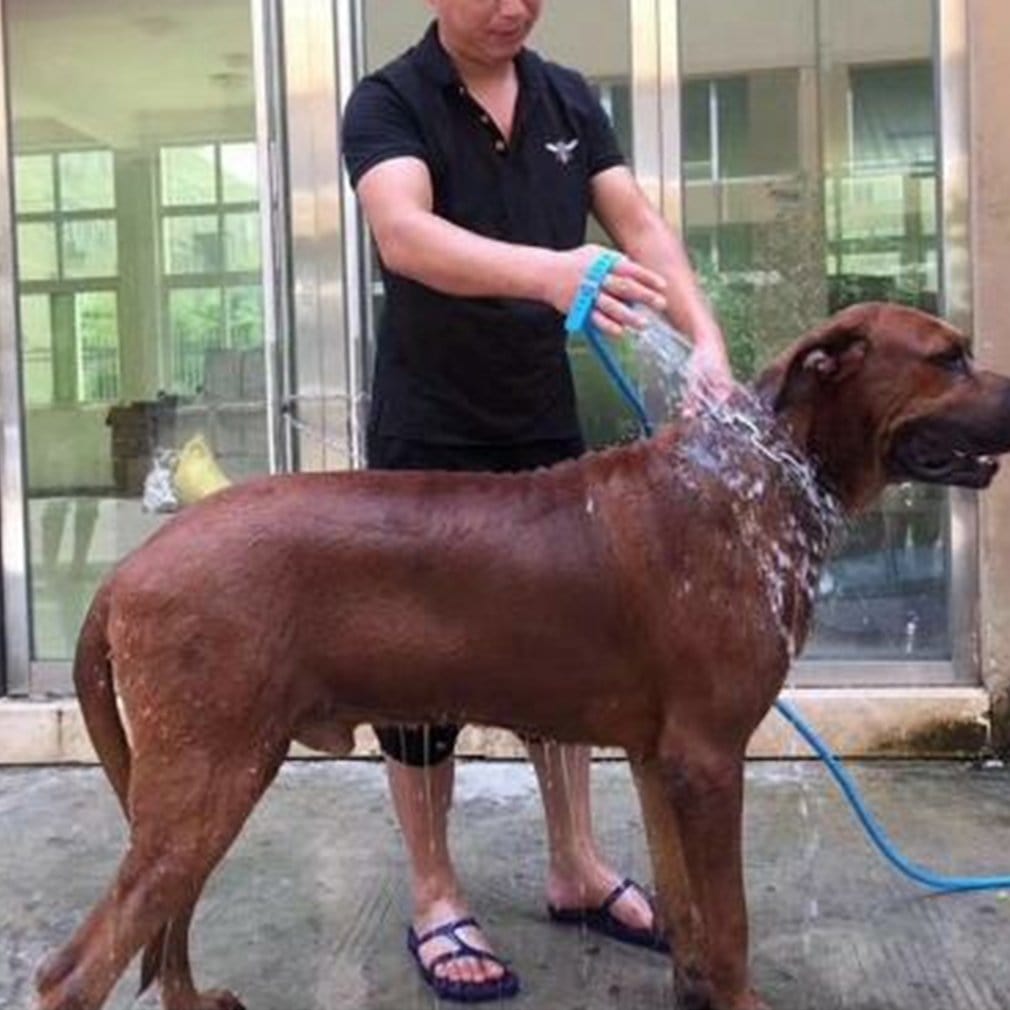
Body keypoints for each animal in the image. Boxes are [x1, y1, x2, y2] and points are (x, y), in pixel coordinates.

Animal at [35, 303, 1010, 1010]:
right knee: (75, 970)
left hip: (211, 779)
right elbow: (730, 921)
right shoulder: (709, 758)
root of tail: (125, 573)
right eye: (949, 357)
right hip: (208, 776)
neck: (762, 473)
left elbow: (690, 911)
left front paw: (692, 987)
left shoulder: (662, 760)